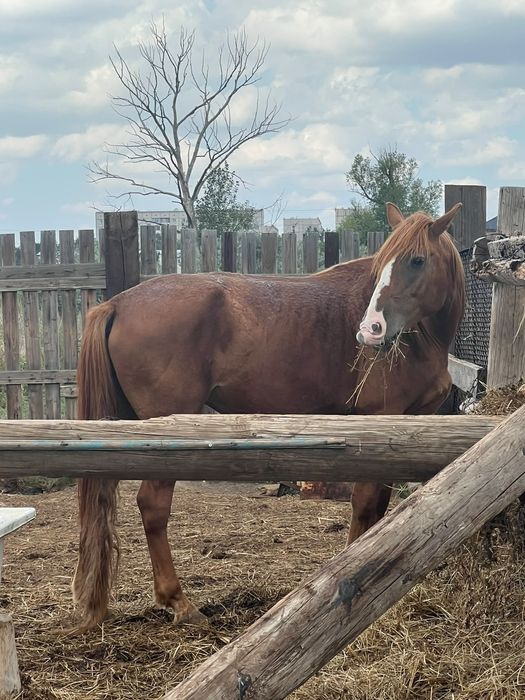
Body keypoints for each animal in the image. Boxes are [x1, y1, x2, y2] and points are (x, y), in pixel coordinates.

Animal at [72, 202, 465, 630]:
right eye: (381, 265)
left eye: (417, 260)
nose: (370, 330)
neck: (421, 337)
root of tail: (118, 303)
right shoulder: (378, 420)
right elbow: (365, 506)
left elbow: (380, 509)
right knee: (152, 507)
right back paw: (179, 602)